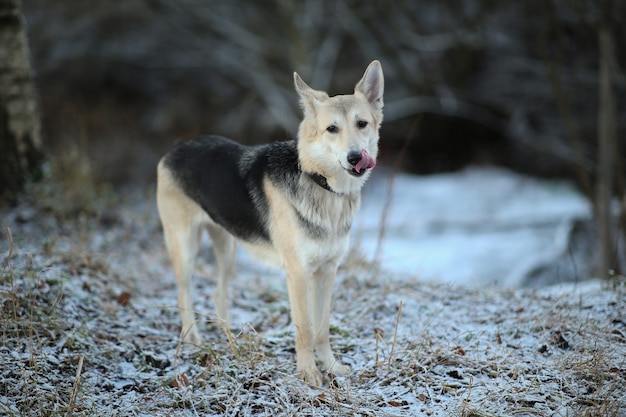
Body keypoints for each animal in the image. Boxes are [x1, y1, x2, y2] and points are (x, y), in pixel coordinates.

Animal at [156, 58, 380, 384]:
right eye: (331, 129)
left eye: (362, 124)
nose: (355, 157)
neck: (320, 183)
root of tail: (178, 146)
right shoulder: (298, 273)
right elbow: (305, 329)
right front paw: (309, 373)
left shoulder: (327, 271)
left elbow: (322, 328)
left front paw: (331, 366)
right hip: (185, 248)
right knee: (183, 294)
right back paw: (193, 342)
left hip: (228, 248)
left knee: (218, 292)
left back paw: (230, 339)